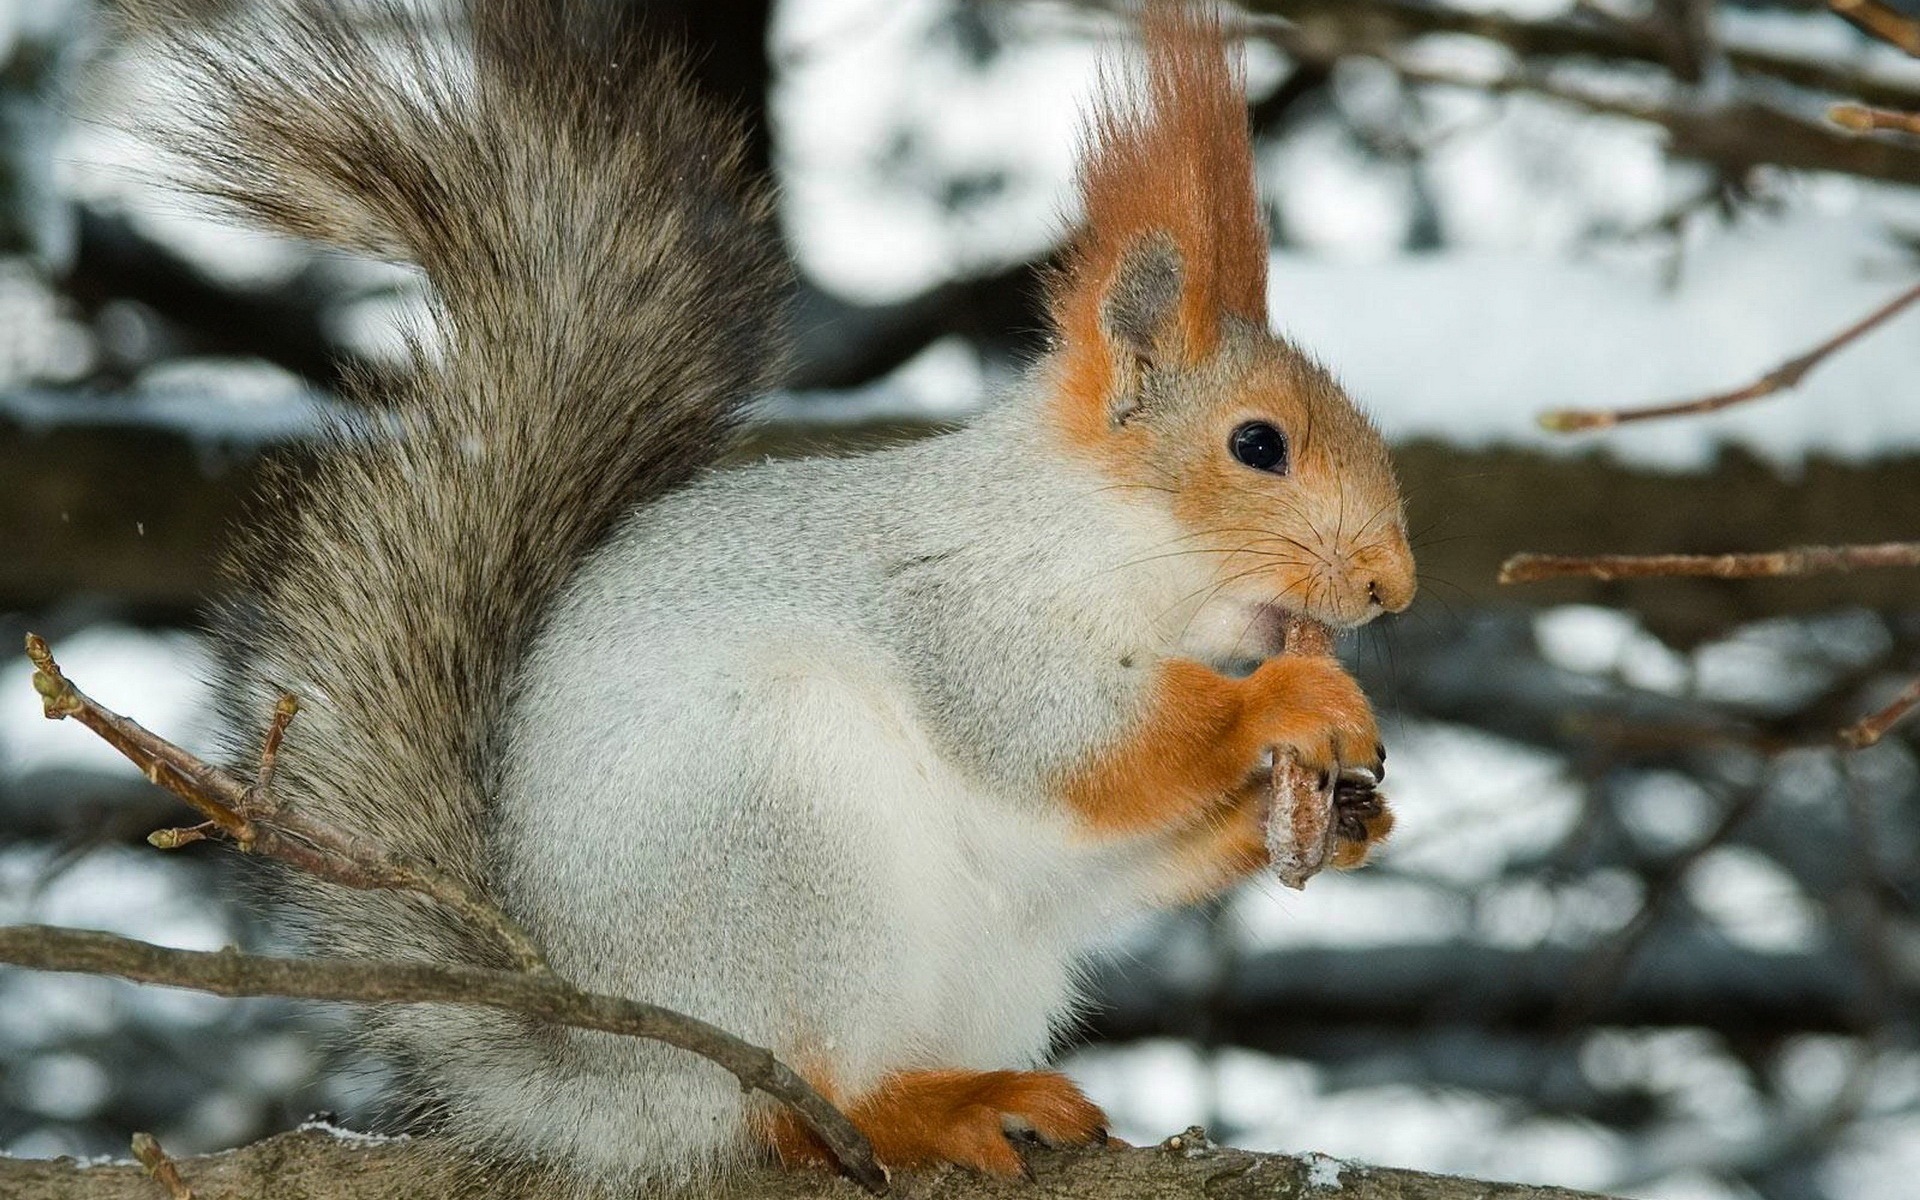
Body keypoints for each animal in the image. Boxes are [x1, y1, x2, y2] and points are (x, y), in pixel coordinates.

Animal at [142, 0, 1420, 1190]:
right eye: (1257, 445)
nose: (1392, 587)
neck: (1095, 535)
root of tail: (611, 1081)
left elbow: (1108, 855)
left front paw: (1333, 814)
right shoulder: (968, 619)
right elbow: (1074, 743)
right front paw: (1291, 703)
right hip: (784, 835)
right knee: (793, 1107)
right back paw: (926, 1111)